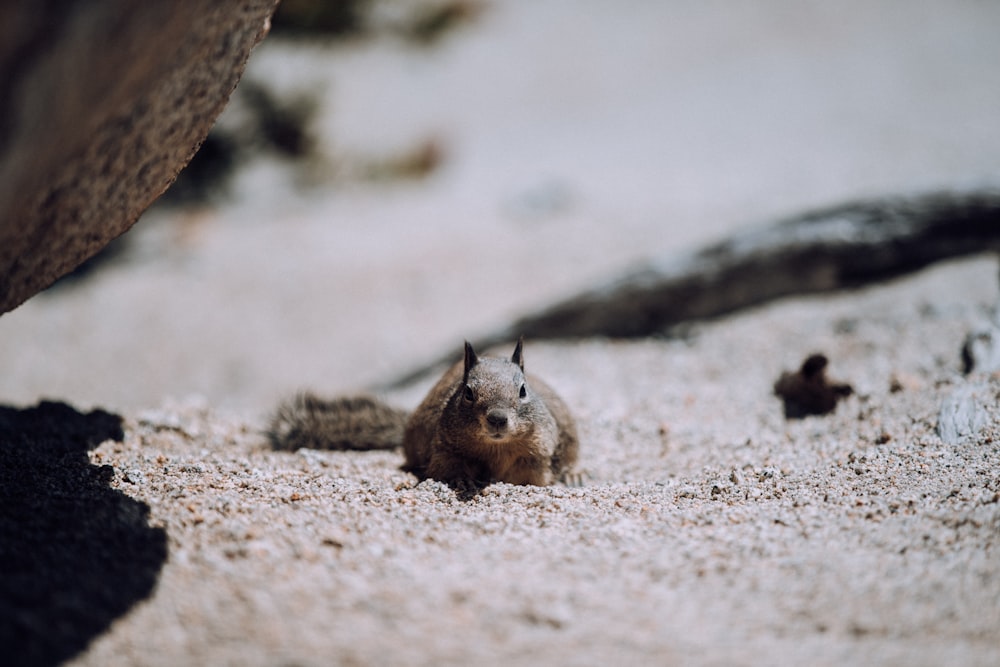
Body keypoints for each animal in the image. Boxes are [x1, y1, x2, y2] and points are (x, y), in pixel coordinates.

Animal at [266, 340, 580, 486]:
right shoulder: (442, 449)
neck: (496, 449)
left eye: (523, 390)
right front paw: (462, 480)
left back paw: (575, 474)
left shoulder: (536, 456)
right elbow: (447, 468)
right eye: (468, 392)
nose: (498, 419)